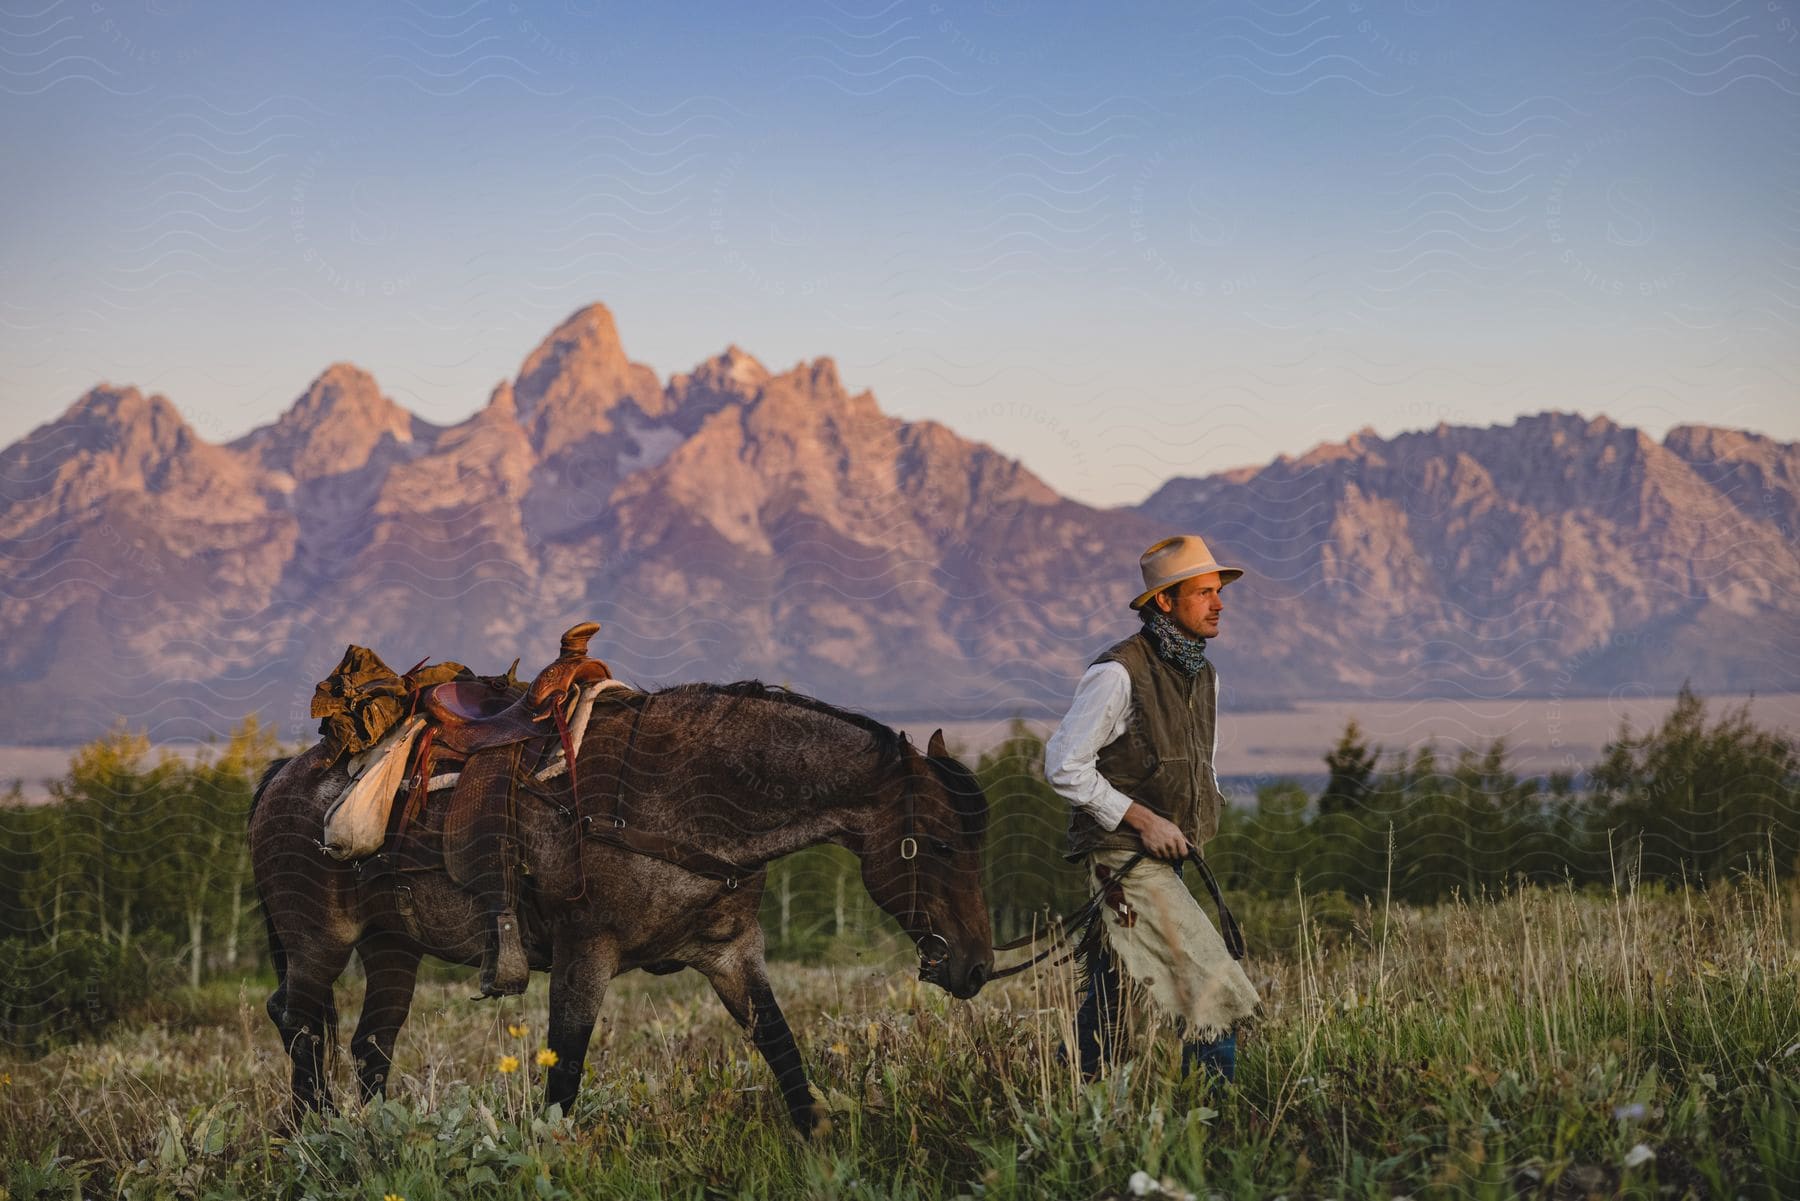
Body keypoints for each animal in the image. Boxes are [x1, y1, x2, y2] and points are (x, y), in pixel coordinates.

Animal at [246, 680, 1000, 1130]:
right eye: (938, 843)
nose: (975, 967)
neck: (685, 802)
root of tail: (281, 774)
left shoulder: (732, 953)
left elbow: (784, 1054)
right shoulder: (586, 953)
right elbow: (565, 1073)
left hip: (392, 946)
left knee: (371, 1042)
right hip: (319, 943)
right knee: (297, 1022)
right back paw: (314, 1133)